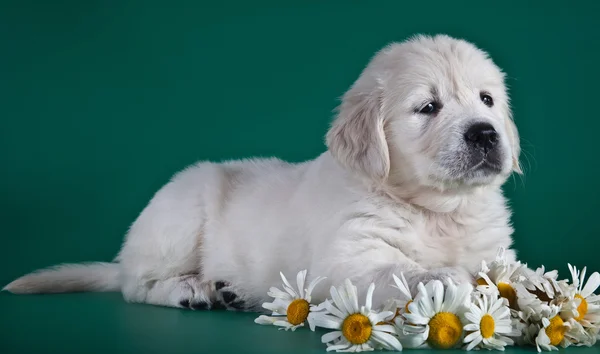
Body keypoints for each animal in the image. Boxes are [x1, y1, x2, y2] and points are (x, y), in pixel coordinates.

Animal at [3, 32, 520, 310]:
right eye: (428, 107)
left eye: (487, 100)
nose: (485, 133)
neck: (438, 210)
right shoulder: (345, 262)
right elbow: (398, 269)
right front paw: (443, 277)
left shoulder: (495, 248)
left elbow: (511, 271)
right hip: (179, 213)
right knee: (136, 285)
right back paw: (190, 288)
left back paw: (228, 290)